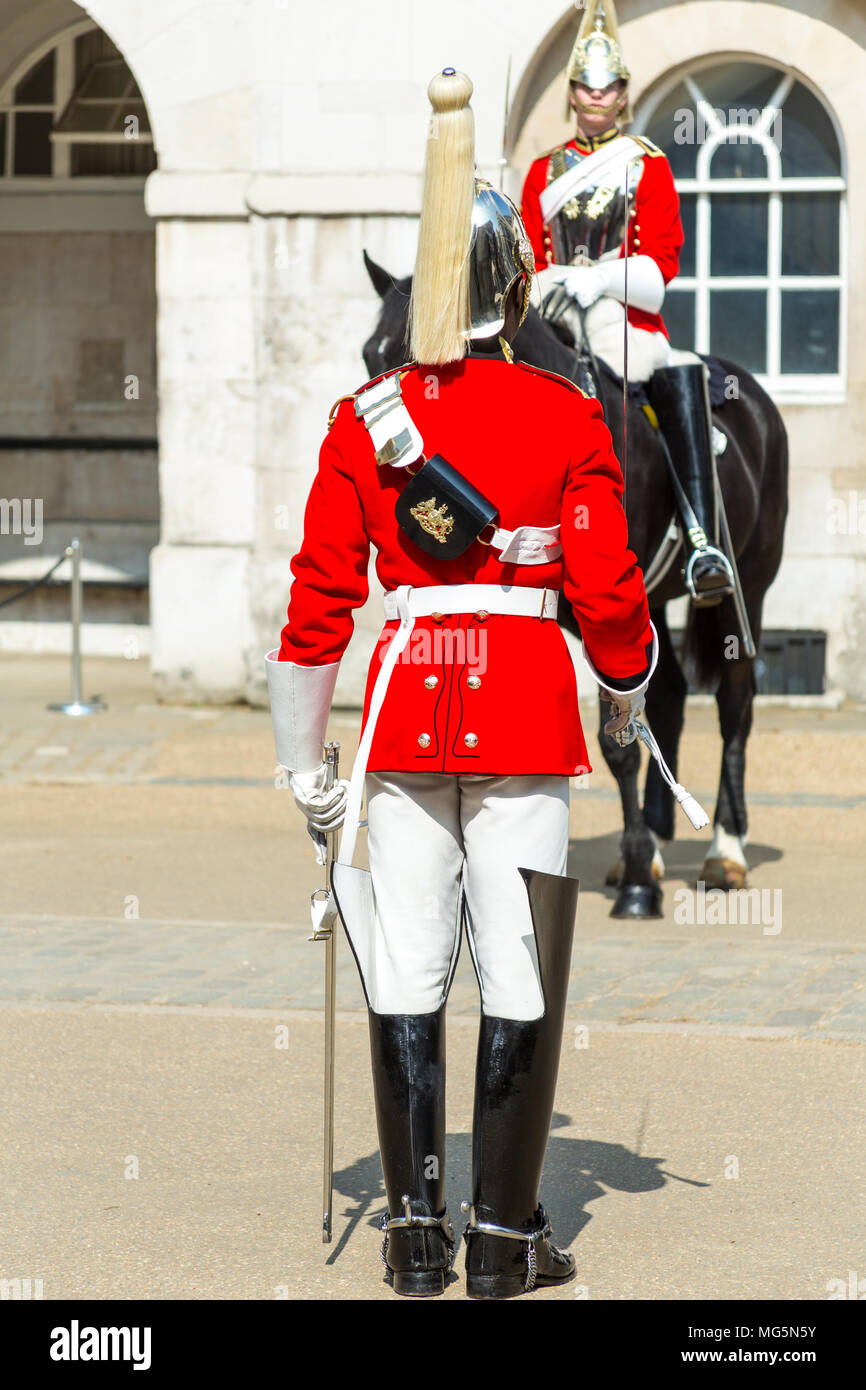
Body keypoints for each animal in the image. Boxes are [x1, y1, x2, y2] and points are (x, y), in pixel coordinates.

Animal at [361, 254, 789, 917]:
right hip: (652, 602)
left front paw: (639, 880)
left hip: (751, 588)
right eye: (371, 354)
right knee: (670, 694)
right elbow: (622, 733)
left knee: (735, 705)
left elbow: (621, 738)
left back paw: (726, 850)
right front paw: (639, 864)